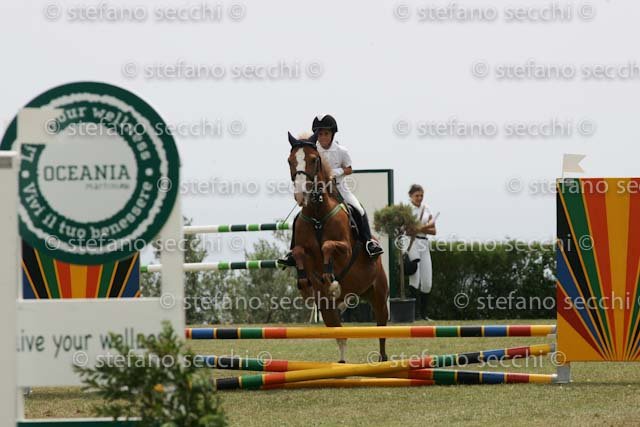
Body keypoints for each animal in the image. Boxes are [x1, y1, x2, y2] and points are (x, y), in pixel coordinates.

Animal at [286, 132, 389, 362]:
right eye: (290, 161)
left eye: (313, 160)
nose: (300, 195)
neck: (317, 214)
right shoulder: (304, 251)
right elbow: (299, 252)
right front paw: (305, 283)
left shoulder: (346, 250)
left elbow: (327, 246)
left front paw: (331, 279)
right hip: (328, 307)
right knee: (339, 333)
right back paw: (341, 363)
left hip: (379, 295)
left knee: (381, 330)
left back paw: (382, 360)